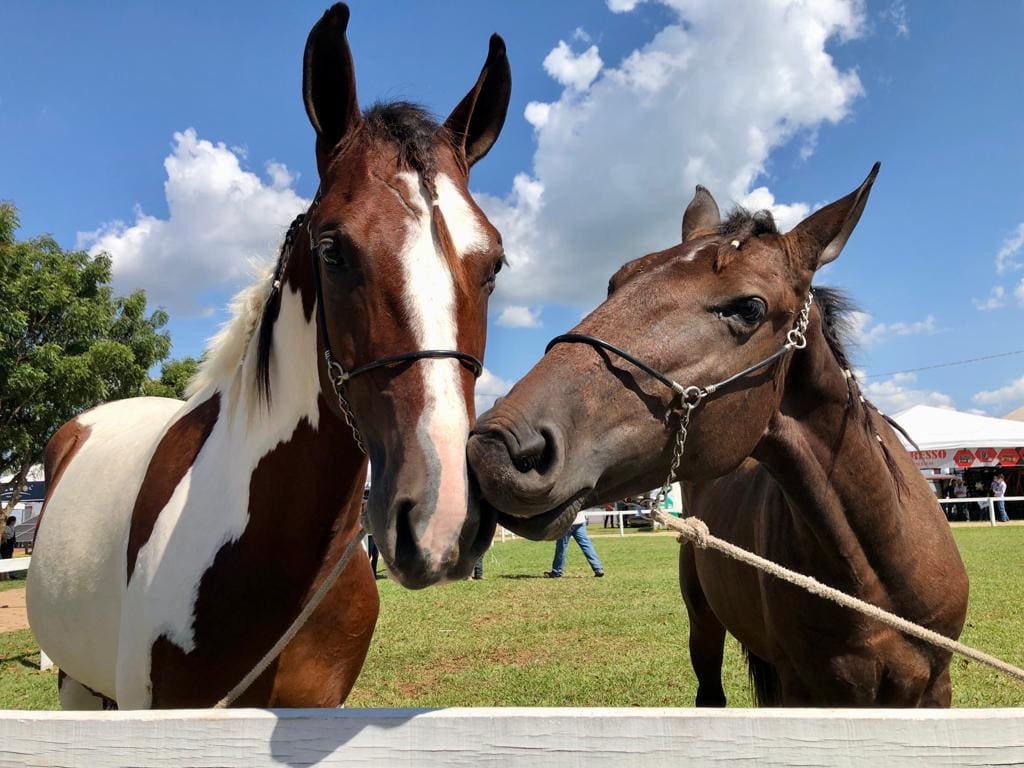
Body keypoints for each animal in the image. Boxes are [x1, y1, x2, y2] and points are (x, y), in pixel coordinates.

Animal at [468, 167, 966, 708]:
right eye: (615, 281)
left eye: (749, 307)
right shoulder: (803, 690)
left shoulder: (935, 688)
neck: (874, 572)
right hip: (703, 622)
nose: (500, 444)